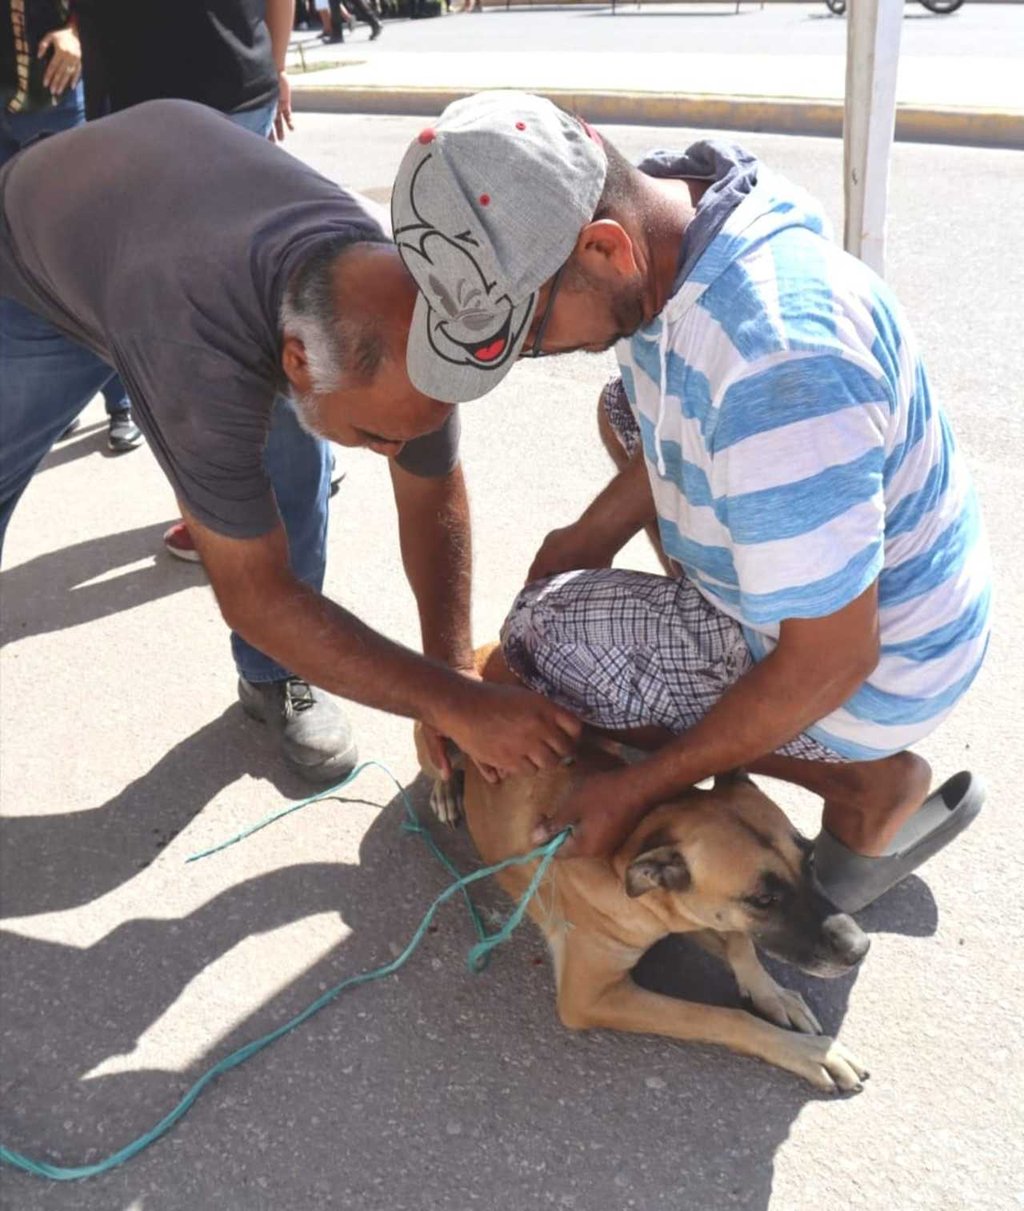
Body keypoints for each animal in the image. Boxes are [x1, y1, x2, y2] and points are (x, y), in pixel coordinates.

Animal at [413, 649, 876, 1094]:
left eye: (810, 859)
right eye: (763, 900)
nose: (860, 948)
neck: (637, 837)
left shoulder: (683, 911)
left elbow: (739, 941)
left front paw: (774, 994)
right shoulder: (591, 997)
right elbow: (721, 1016)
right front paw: (809, 1053)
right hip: (433, 734)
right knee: (438, 761)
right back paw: (447, 791)